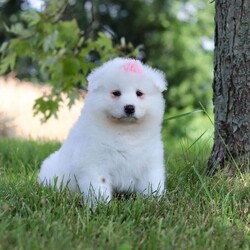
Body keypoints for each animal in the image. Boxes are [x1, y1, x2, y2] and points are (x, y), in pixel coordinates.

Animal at [38, 57, 168, 204]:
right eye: (116, 93)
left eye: (139, 93)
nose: (129, 107)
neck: (125, 131)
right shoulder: (94, 163)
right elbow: (98, 185)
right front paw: (101, 204)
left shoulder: (150, 162)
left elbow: (152, 182)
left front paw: (155, 200)